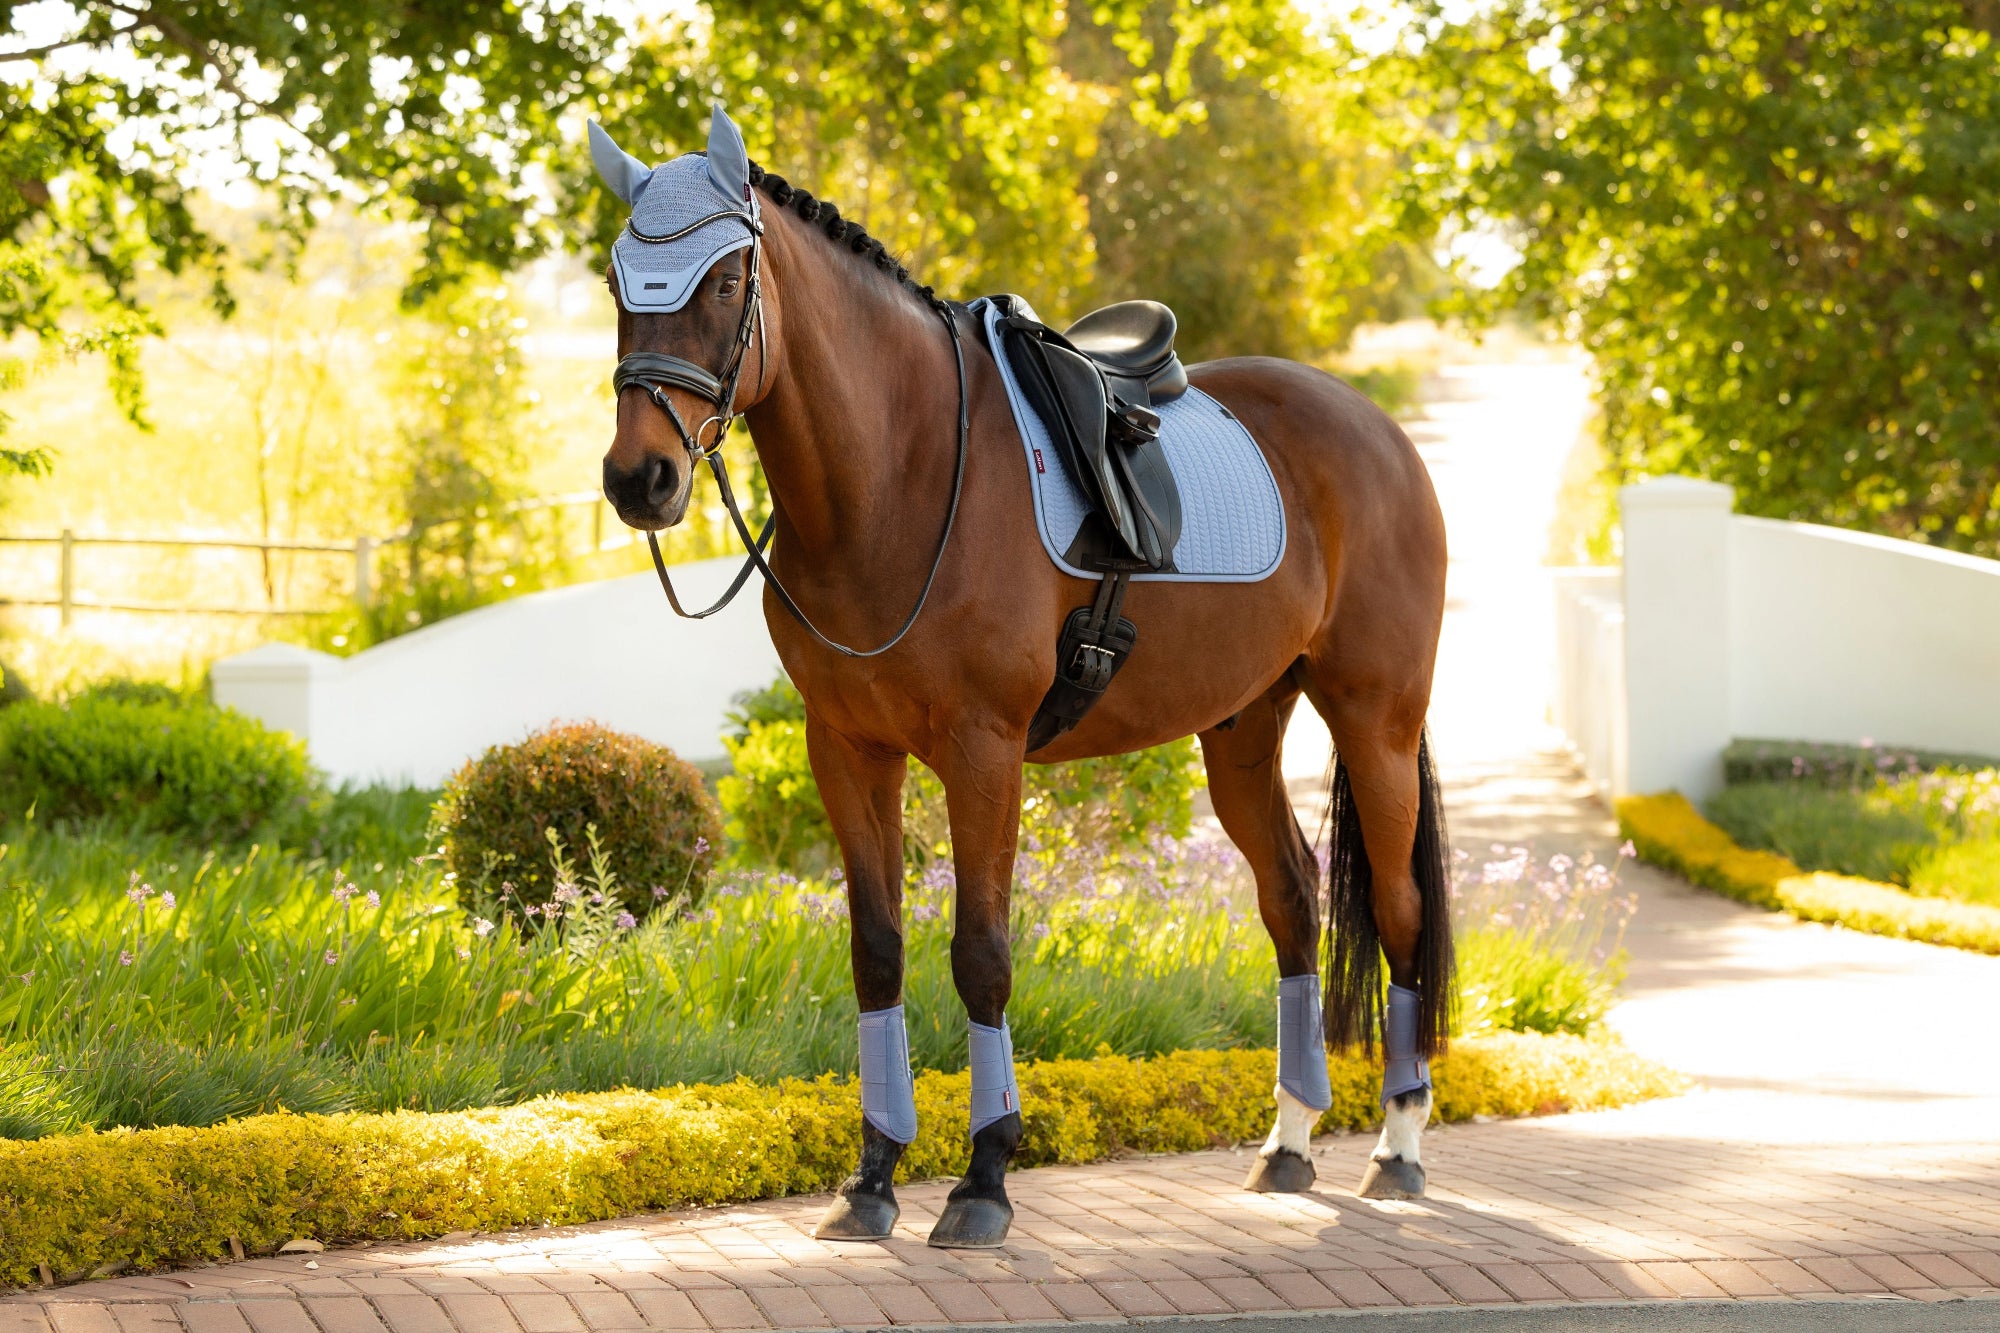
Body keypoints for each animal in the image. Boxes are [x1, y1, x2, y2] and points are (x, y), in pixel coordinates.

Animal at [590, 106, 1453, 1250]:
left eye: (728, 279)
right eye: (617, 280)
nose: (639, 477)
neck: (902, 471)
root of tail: (1376, 431)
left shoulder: (983, 749)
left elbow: (981, 953)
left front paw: (983, 1180)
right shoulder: (847, 748)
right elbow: (877, 950)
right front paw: (871, 1178)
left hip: (1375, 719)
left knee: (1399, 912)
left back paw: (1397, 1149)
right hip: (1240, 729)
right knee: (1291, 899)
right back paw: (1288, 1141)